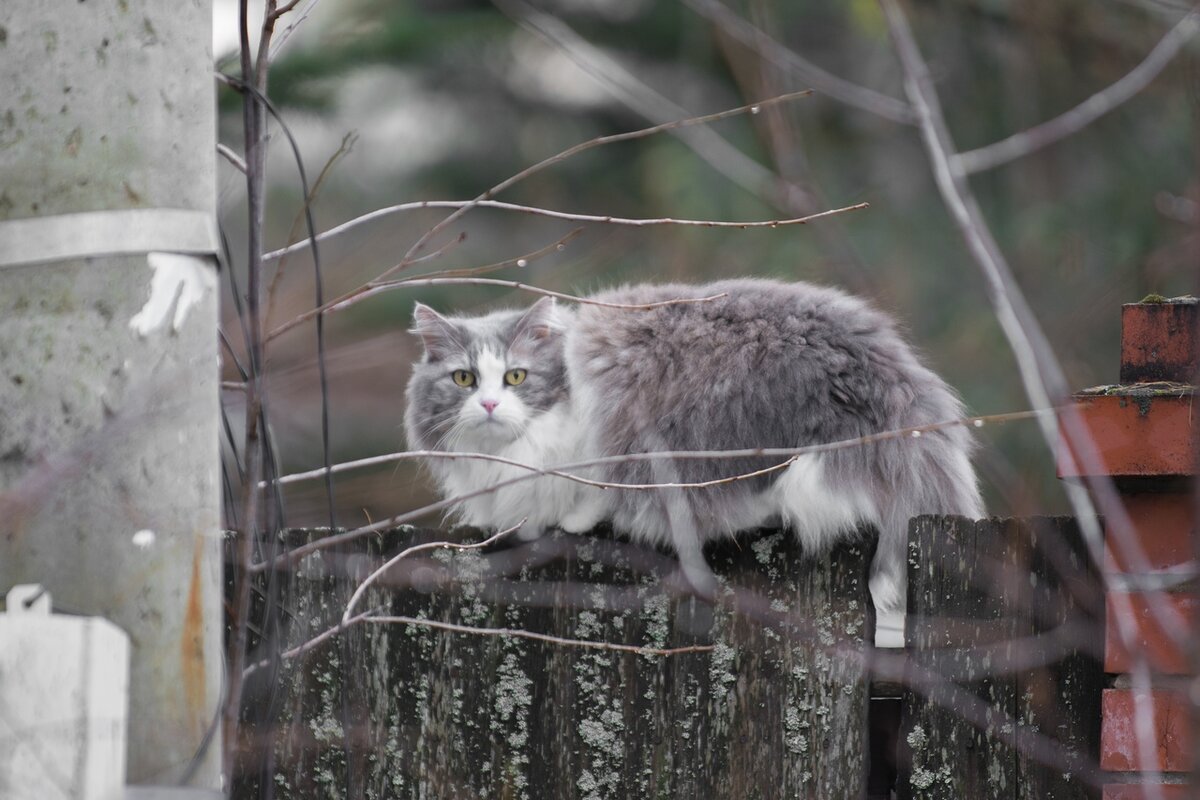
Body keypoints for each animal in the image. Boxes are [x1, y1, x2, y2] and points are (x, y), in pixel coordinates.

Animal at [403, 278, 984, 609]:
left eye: (516, 377)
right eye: (463, 380)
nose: (489, 406)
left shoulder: (604, 442)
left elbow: (592, 493)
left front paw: (571, 520)